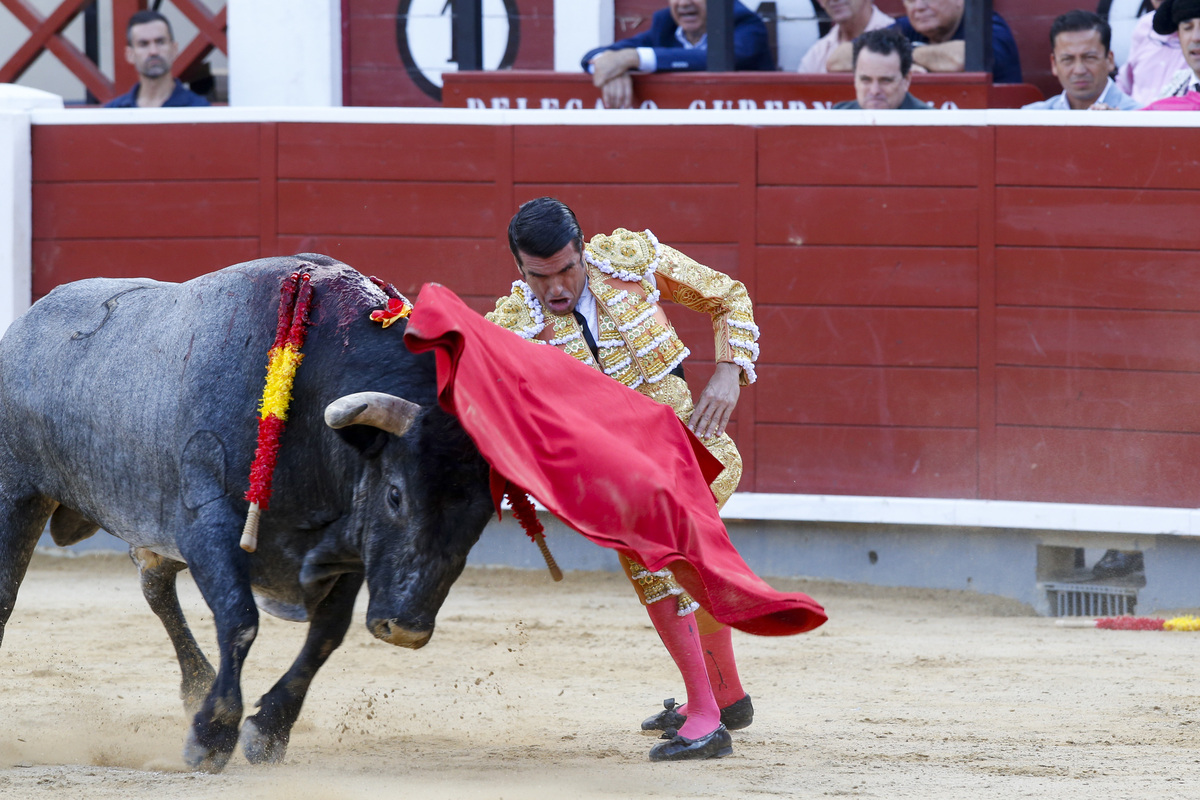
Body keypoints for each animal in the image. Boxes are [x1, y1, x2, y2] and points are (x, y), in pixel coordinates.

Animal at [0, 256, 492, 767]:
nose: (407, 631)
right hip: (18, 492)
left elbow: (327, 633)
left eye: (482, 517)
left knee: (155, 585)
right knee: (7, 594)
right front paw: (212, 735)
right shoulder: (208, 527)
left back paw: (197, 684)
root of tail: (24, 325)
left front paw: (269, 730)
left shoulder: (352, 547)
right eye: (396, 495)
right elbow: (240, 621)